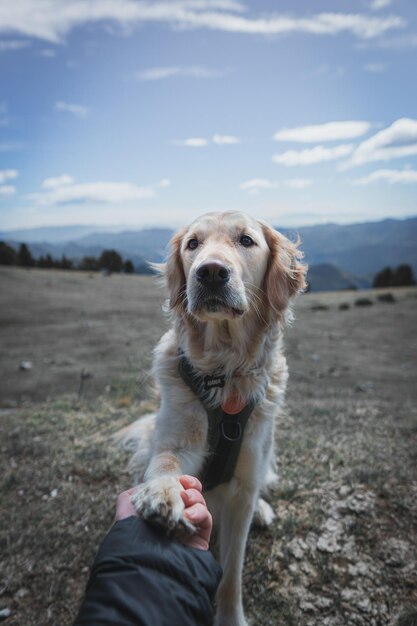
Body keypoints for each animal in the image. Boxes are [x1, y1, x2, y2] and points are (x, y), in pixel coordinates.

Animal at [127, 211, 306, 624]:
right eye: (193, 244)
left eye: (246, 240)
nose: (210, 272)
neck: (224, 371)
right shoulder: (176, 440)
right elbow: (165, 463)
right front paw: (164, 492)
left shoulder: (244, 482)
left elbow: (231, 573)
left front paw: (230, 617)